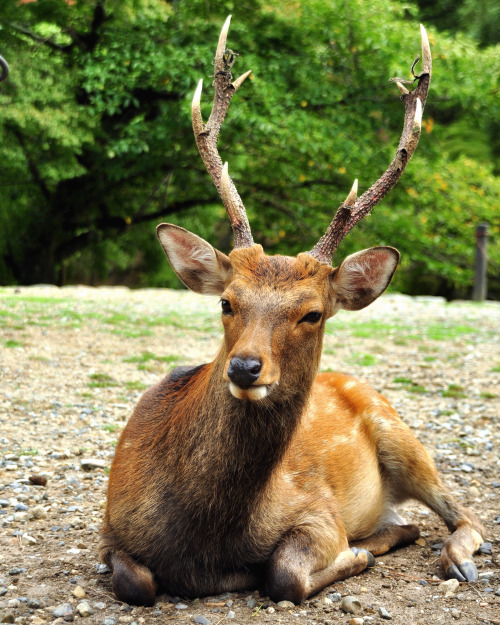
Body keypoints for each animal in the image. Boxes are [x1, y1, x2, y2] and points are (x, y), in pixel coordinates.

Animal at [100, 18, 484, 604]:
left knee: (465, 515)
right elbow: (135, 580)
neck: (203, 539)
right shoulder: (111, 524)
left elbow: (284, 574)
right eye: (226, 301)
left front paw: (354, 554)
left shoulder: (318, 510)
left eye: (313, 314)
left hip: (401, 433)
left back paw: (449, 558)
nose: (245, 367)